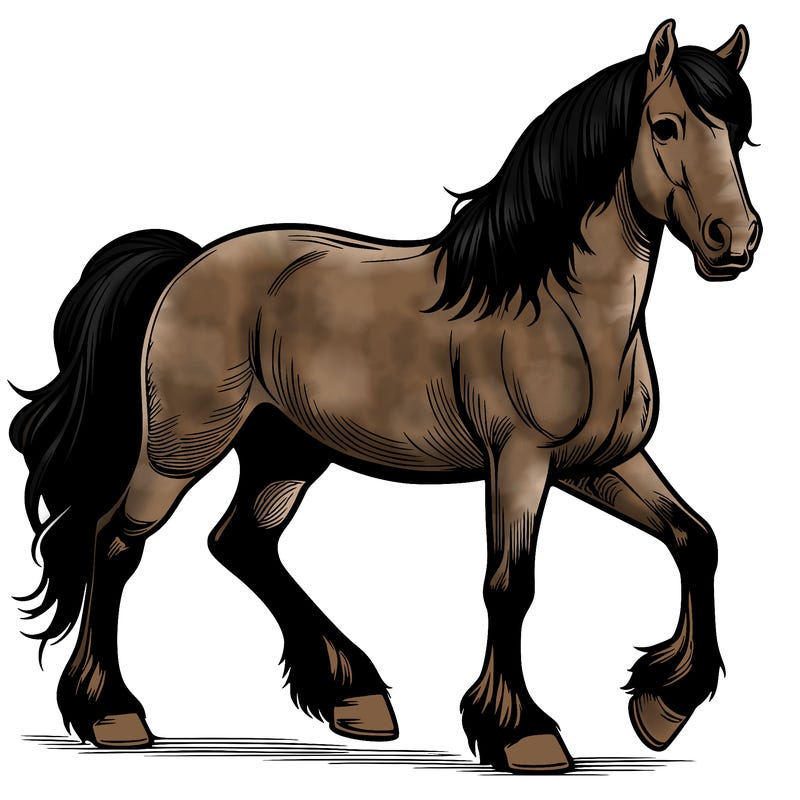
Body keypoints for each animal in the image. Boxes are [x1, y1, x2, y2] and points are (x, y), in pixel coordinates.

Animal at [10, 20, 760, 773]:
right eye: (665, 126)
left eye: (739, 131)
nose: (736, 239)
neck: (558, 307)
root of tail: (188, 263)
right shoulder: (520, 460)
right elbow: (509, 584)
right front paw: (522, 733)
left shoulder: (600, 462)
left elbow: (696, 539)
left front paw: (662, 707)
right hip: (181, 448)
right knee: (115, 543)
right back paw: (113, 715)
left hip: (286, 451)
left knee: (241, 542)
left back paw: (354, 696)